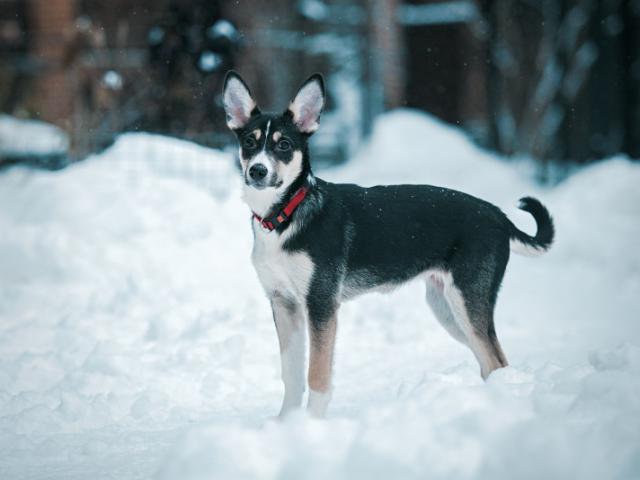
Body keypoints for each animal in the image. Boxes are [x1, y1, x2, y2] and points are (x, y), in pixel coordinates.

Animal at [222, 70, 552, 416]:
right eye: (249, 142)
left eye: (284, 145)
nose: (258, 171)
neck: (285, 216)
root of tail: (499, 216)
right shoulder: (283, 303)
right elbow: (292, 374)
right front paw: (288, 422)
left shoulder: (321, 304)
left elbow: (317, 375)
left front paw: (312, 421)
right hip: (447, 309)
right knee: (492, 363)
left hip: (467, 302)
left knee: (496, 361)